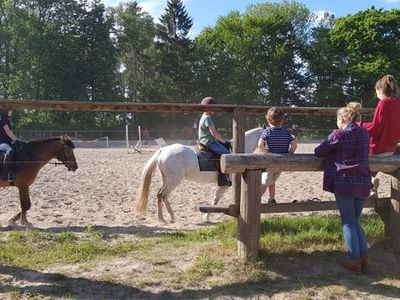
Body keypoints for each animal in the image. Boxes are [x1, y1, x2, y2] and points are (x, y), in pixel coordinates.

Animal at [136, 126, 264, 223]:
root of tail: (163, 150)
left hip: (166, 180)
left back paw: (163, 217)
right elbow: (215, 200)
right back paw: (168, 217)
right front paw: (206, 218)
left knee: (161, 195)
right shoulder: (225, 185)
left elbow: (216, 200)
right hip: (173, 181)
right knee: (162, 194)